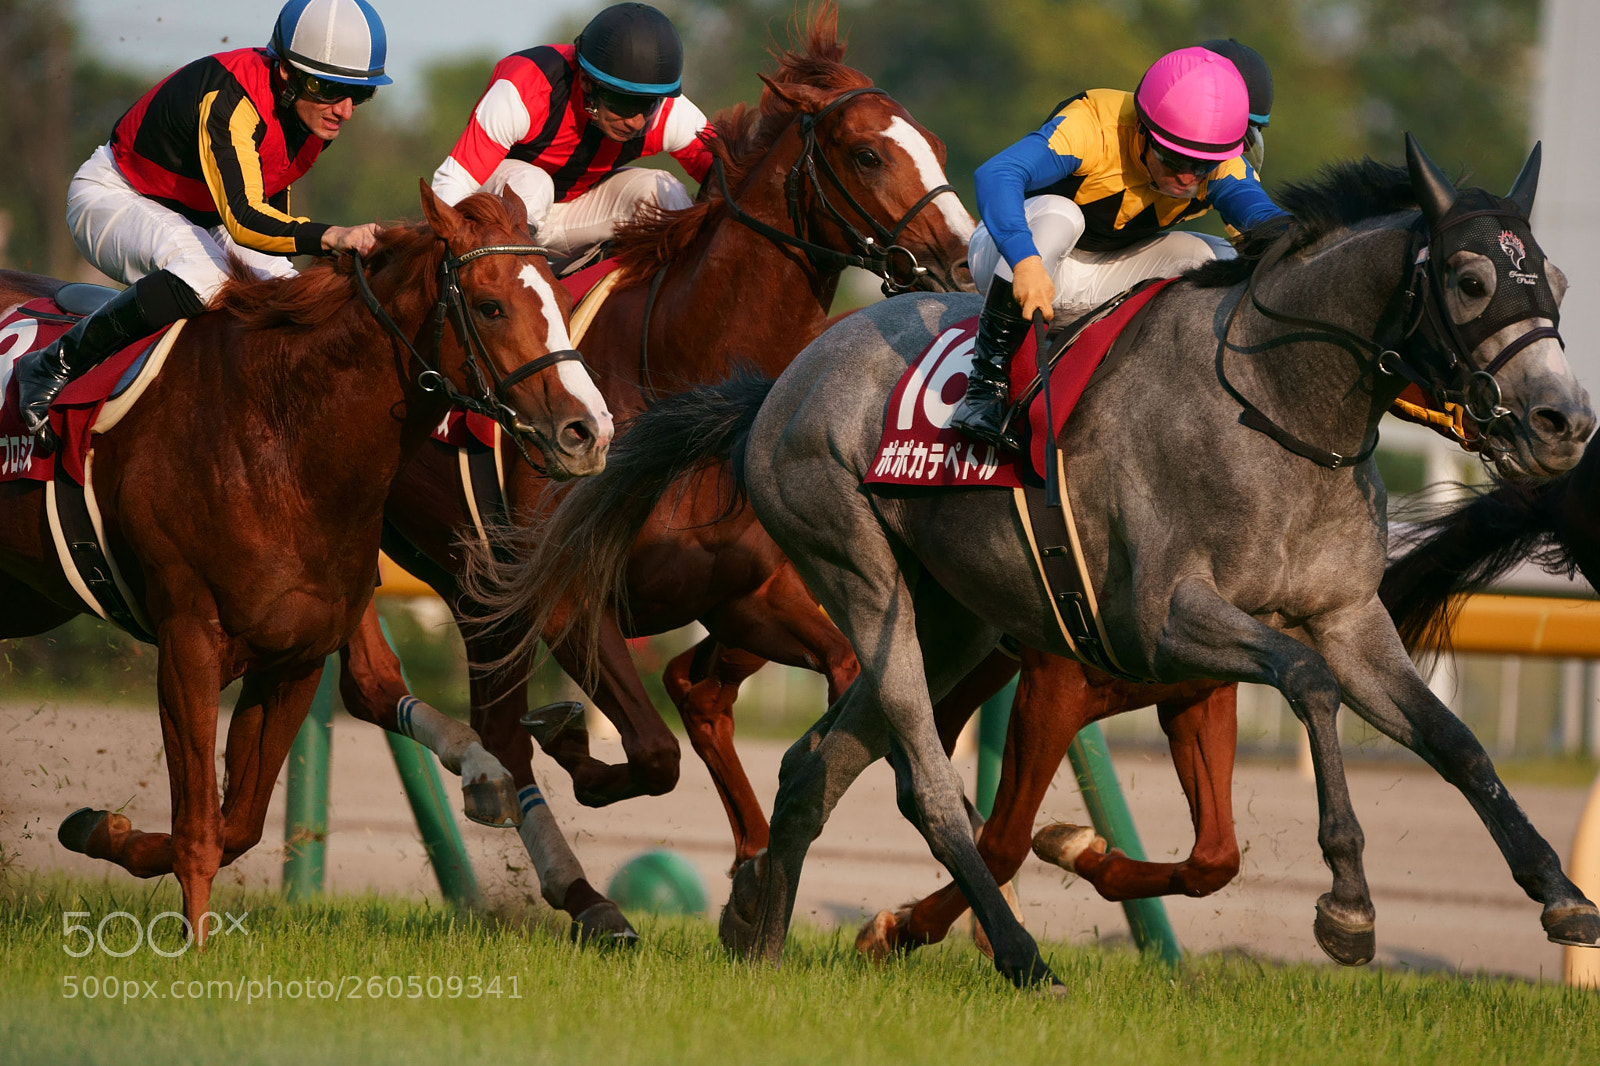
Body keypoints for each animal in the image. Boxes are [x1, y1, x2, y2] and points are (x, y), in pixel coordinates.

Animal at [0, 184, 611, 942]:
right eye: (491, 305)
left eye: (559, 293)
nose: (589, 431)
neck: (281, 437)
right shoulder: (188, 640)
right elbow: (200, 824)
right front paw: (193, 948)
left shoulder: (295, 655)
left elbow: (236, 824)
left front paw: (95, 828)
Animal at [337, 7, 969, 939]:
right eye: (866, 154)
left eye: (932, 142)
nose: (961, 262)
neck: (674, 380)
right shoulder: (568, 600)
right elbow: (651, 750)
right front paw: (577, 745)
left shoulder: (747, 594)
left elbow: (834, 682)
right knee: (380, 687)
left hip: (477, 593)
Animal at [477, 138, 1600, 988]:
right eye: (1469, 279)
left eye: (1553, 279)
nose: (1563, 420)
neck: (1278, 409)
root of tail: (781, 381)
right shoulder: (1165, 620)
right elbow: (1306, 684)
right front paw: (1349, 907)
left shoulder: (1349, 620)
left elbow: (1455, 743)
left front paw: (1559, 894)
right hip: (861, 574)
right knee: (927, 788)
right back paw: (1018, 954)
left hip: (949, 617)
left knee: (816, 763)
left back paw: (765, 935)